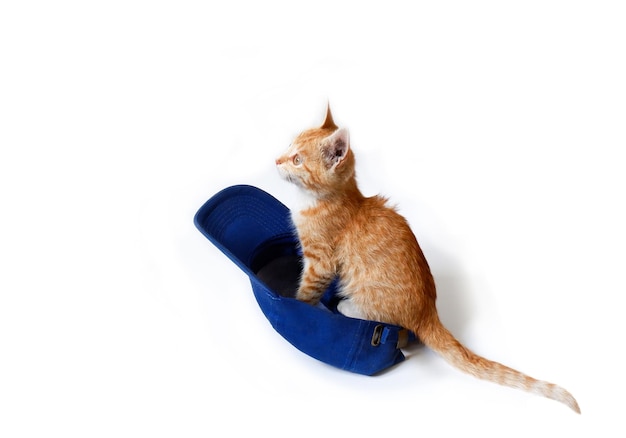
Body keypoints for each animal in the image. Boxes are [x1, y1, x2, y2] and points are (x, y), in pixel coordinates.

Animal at [276, 106, 576, 414]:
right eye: (288, 146)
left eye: (298, 160)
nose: (277, 160)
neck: (320, 200)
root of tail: (428, 313)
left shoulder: (321, 261)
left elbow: (307, 291)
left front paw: (295, 304)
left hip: (367, 292)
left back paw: (347, 307)